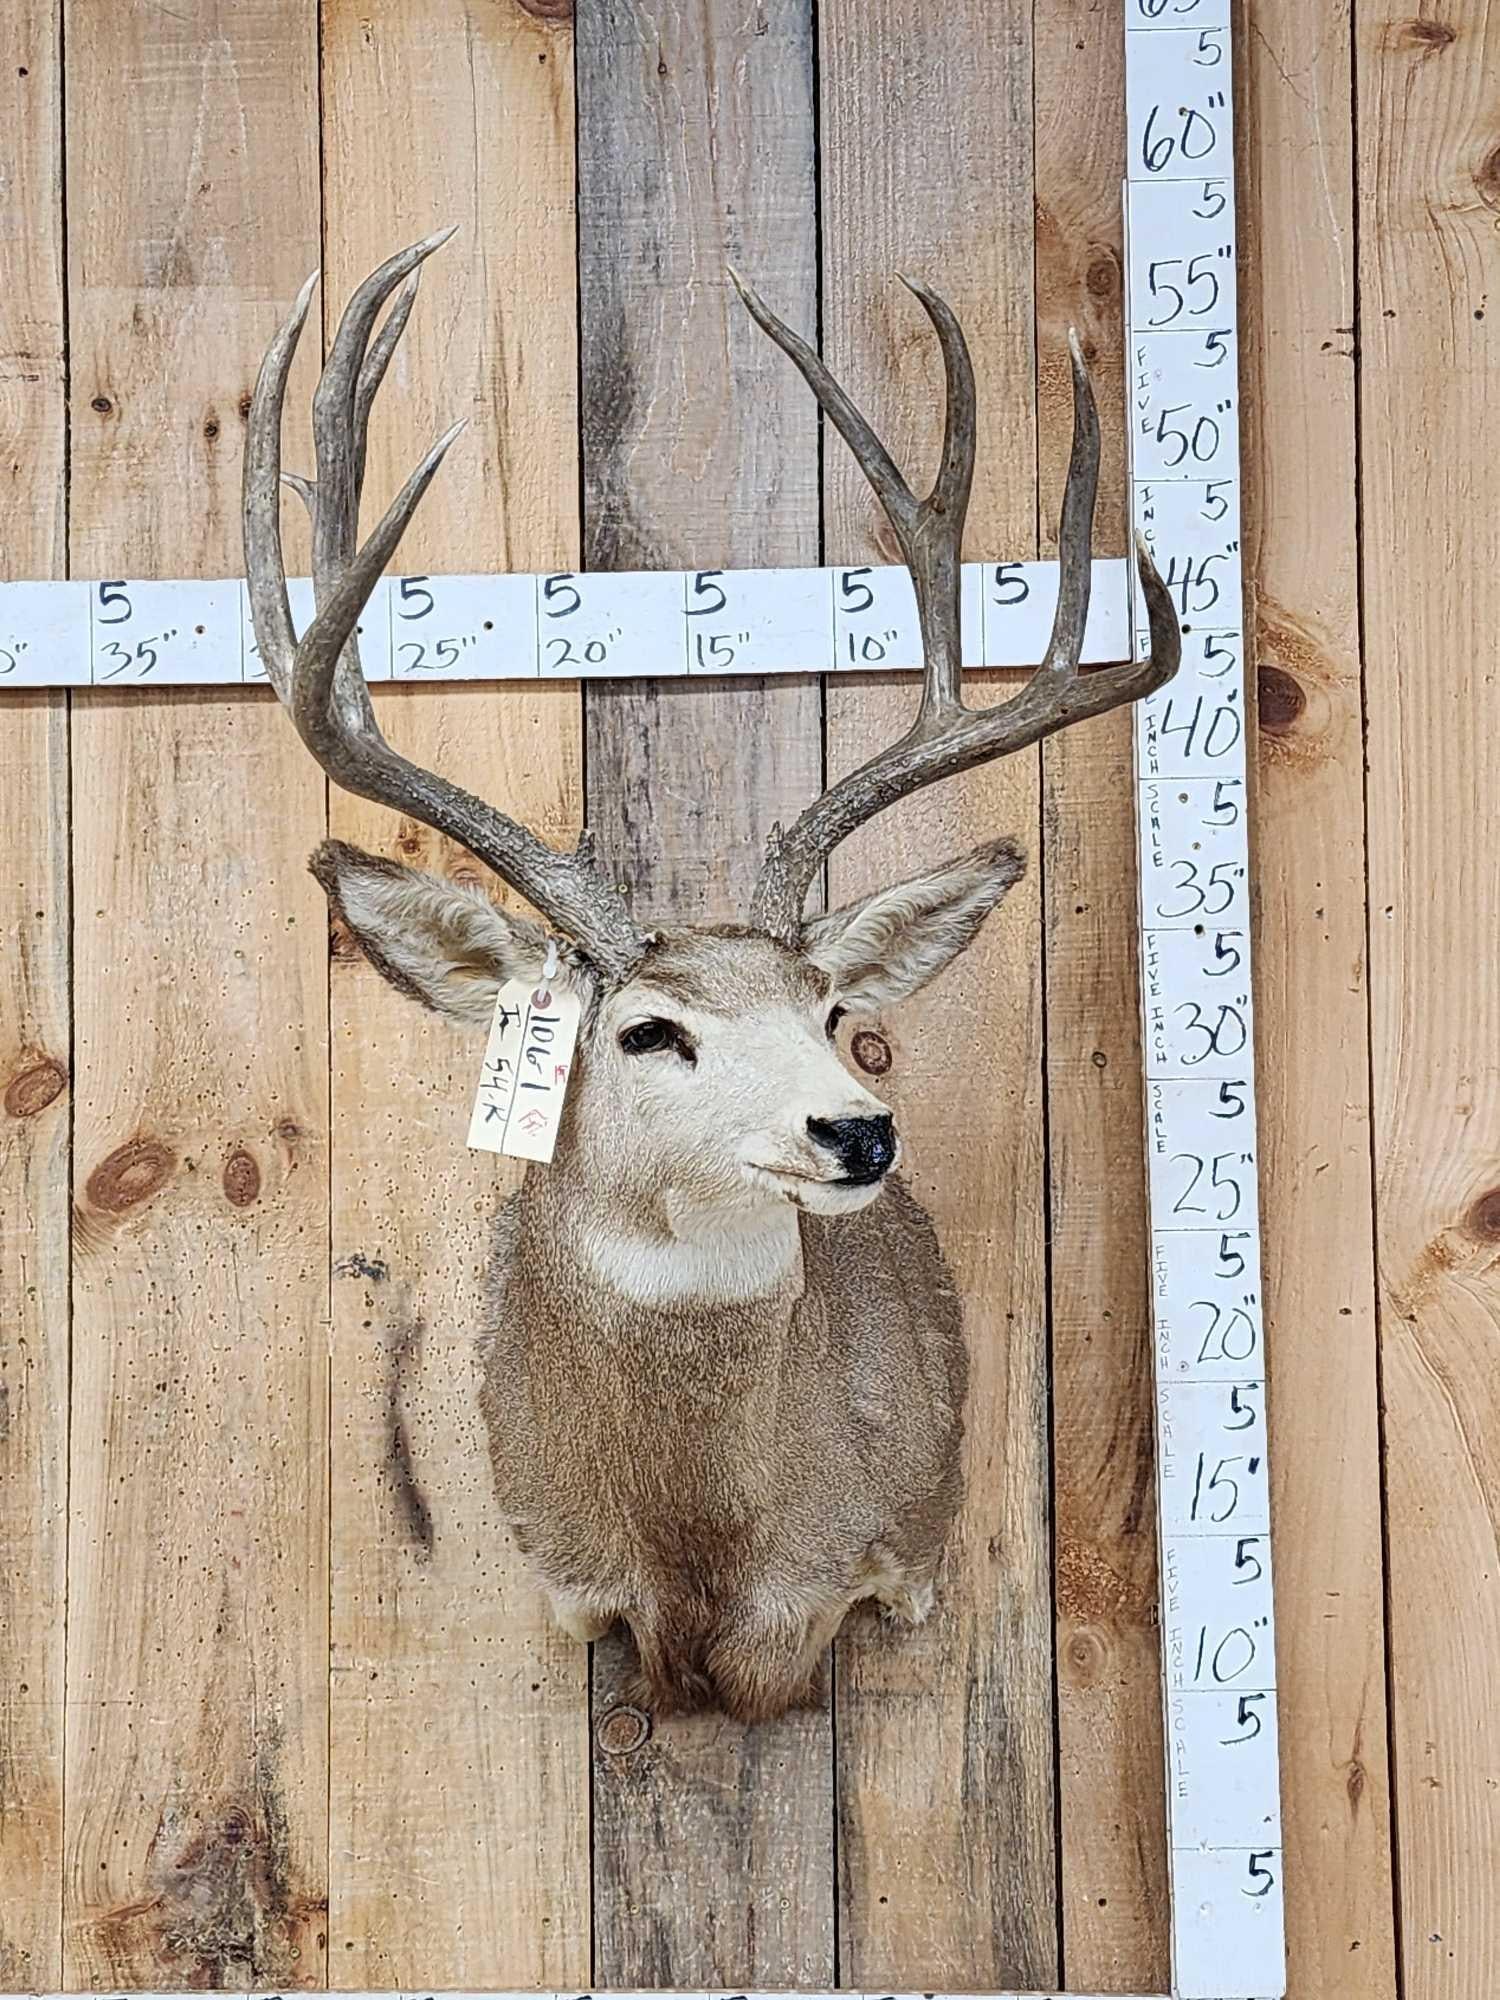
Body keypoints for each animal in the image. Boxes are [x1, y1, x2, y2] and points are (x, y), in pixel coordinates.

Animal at [243, 231, 1178, 1724]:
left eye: (838, 1014)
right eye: (647, 1033)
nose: (858, 1130)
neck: (710, 1566)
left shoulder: (892, 1556)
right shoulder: (565, 1571)